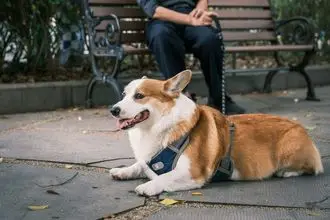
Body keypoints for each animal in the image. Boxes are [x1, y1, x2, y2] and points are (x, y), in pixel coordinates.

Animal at [109, 70, 324, 196]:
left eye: (139, 96)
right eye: (124, 95)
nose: (113, 110)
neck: (161, 125)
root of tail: (302, 128)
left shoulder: (192, 172)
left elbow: (164, 177)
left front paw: (147, 186)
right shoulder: (149, 158)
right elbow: (139, 164)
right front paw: (122, 171)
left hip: (289, 148)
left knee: (310, 168)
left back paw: (286, 172)